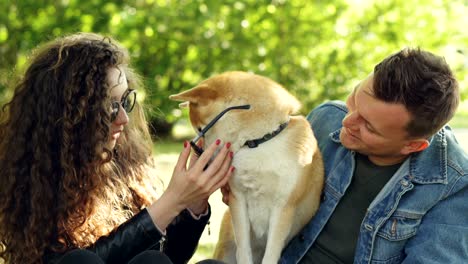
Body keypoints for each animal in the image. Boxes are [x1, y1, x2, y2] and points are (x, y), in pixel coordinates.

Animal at [170, 71, 324, 262]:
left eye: (200, 130)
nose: (200, 156)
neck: (259, 143)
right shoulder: (238, 198)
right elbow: (243, 250)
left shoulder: (283, 208)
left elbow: (271, 255)